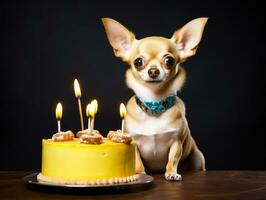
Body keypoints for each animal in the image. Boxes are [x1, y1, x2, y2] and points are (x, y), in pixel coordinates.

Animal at [102, 17, 208, 181]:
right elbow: (138, 162)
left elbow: (172, 160)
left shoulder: (177, 142)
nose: (153, 71)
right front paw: (140, 173)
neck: (154, 103)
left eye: (169, 61)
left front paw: (171, 173)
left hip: (197, 159)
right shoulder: (135, 143)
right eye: (138, 62)